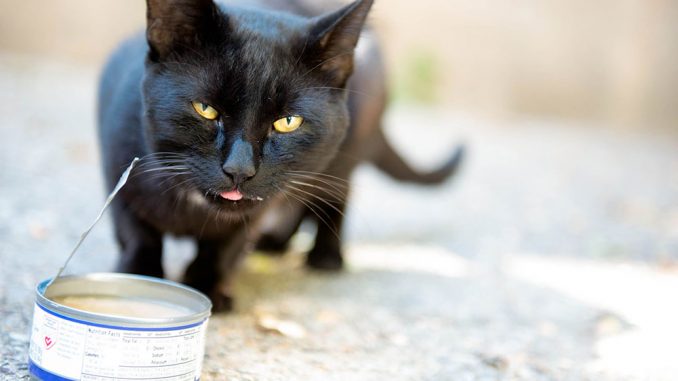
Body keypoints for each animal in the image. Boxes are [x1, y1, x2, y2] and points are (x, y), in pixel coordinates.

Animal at [98, 0, 464, 310]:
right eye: (205, 109)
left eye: (288, 122)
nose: (239, 169)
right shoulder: (118, 171)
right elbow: (137, 234)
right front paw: (137, 276)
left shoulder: (253, 212)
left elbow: (226, 245)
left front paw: (207, 287)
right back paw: (277, 243)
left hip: (341, 157)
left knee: (332, 196)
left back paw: (325, 255)